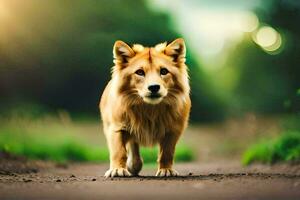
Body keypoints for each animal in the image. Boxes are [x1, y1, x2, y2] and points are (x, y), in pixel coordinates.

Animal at [99, 38, 191, 177]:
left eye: (164, 71)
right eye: (140, 72)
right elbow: (118, 151)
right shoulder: (116, 126)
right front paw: (118, 169)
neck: (149, 109)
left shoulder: (174, 129)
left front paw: (166, 170)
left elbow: (167, 153)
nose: (154, 87)